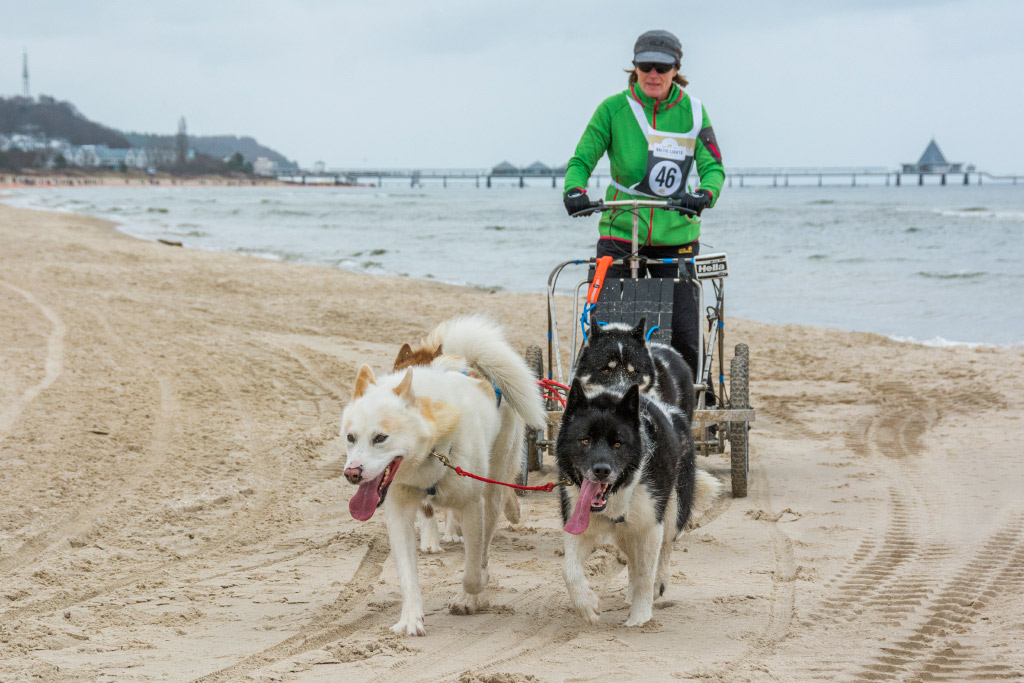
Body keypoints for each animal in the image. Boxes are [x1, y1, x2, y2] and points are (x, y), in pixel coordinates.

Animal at [341, 317, 544, 636]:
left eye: (380, 438)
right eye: (351, 437)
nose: (352, 473)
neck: (432, 451)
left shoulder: (473, 507)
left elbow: (473, 570)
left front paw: (471, 596)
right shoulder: (399, 512)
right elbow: (407, 575)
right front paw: (410, 619)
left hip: (492, 492)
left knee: (487, 539)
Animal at [555, 379, 719, 627]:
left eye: (618, 444)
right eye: (585, 440)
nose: (601, 470)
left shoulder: (650, 527)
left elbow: (645, 573)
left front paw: (640, 617)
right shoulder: (579, 525)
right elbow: (569, 569)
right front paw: (587, 606)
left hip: (673, 511)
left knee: (665, 547)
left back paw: (657, 585)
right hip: (625, 532)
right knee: (632, 558)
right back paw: (629, 594)